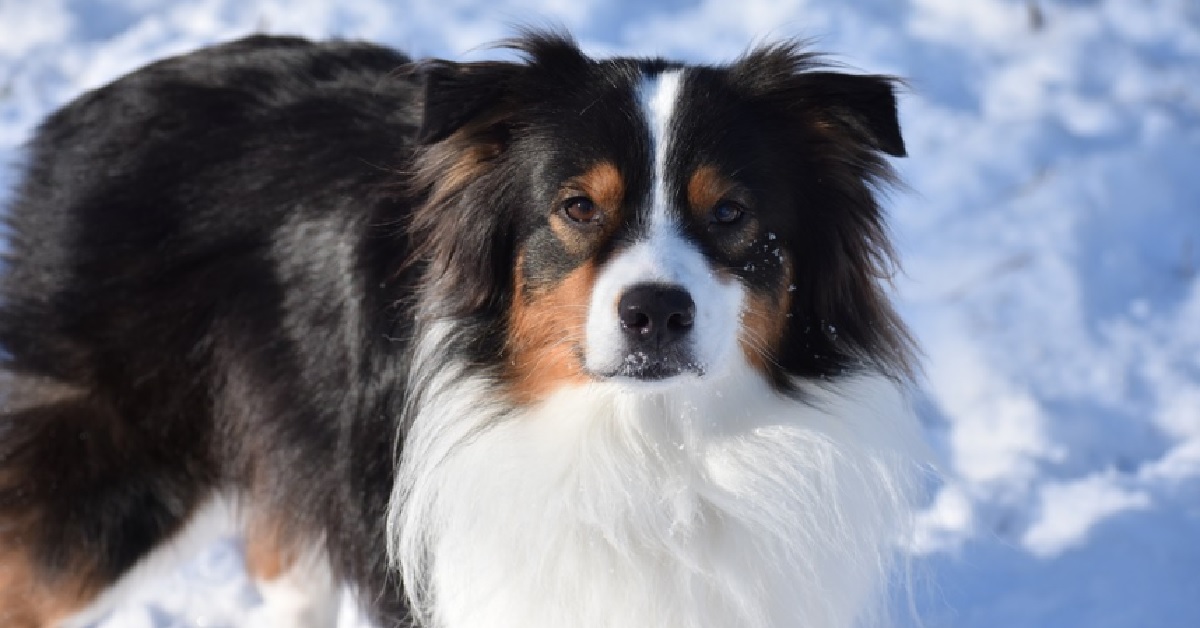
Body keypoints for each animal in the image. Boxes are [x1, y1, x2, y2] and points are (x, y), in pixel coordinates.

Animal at [0, 30, 926, 628]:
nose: (656, 312)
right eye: (576, 207)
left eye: (731, 213)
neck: (647, 449)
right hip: (119, 469)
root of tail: (82, 112)